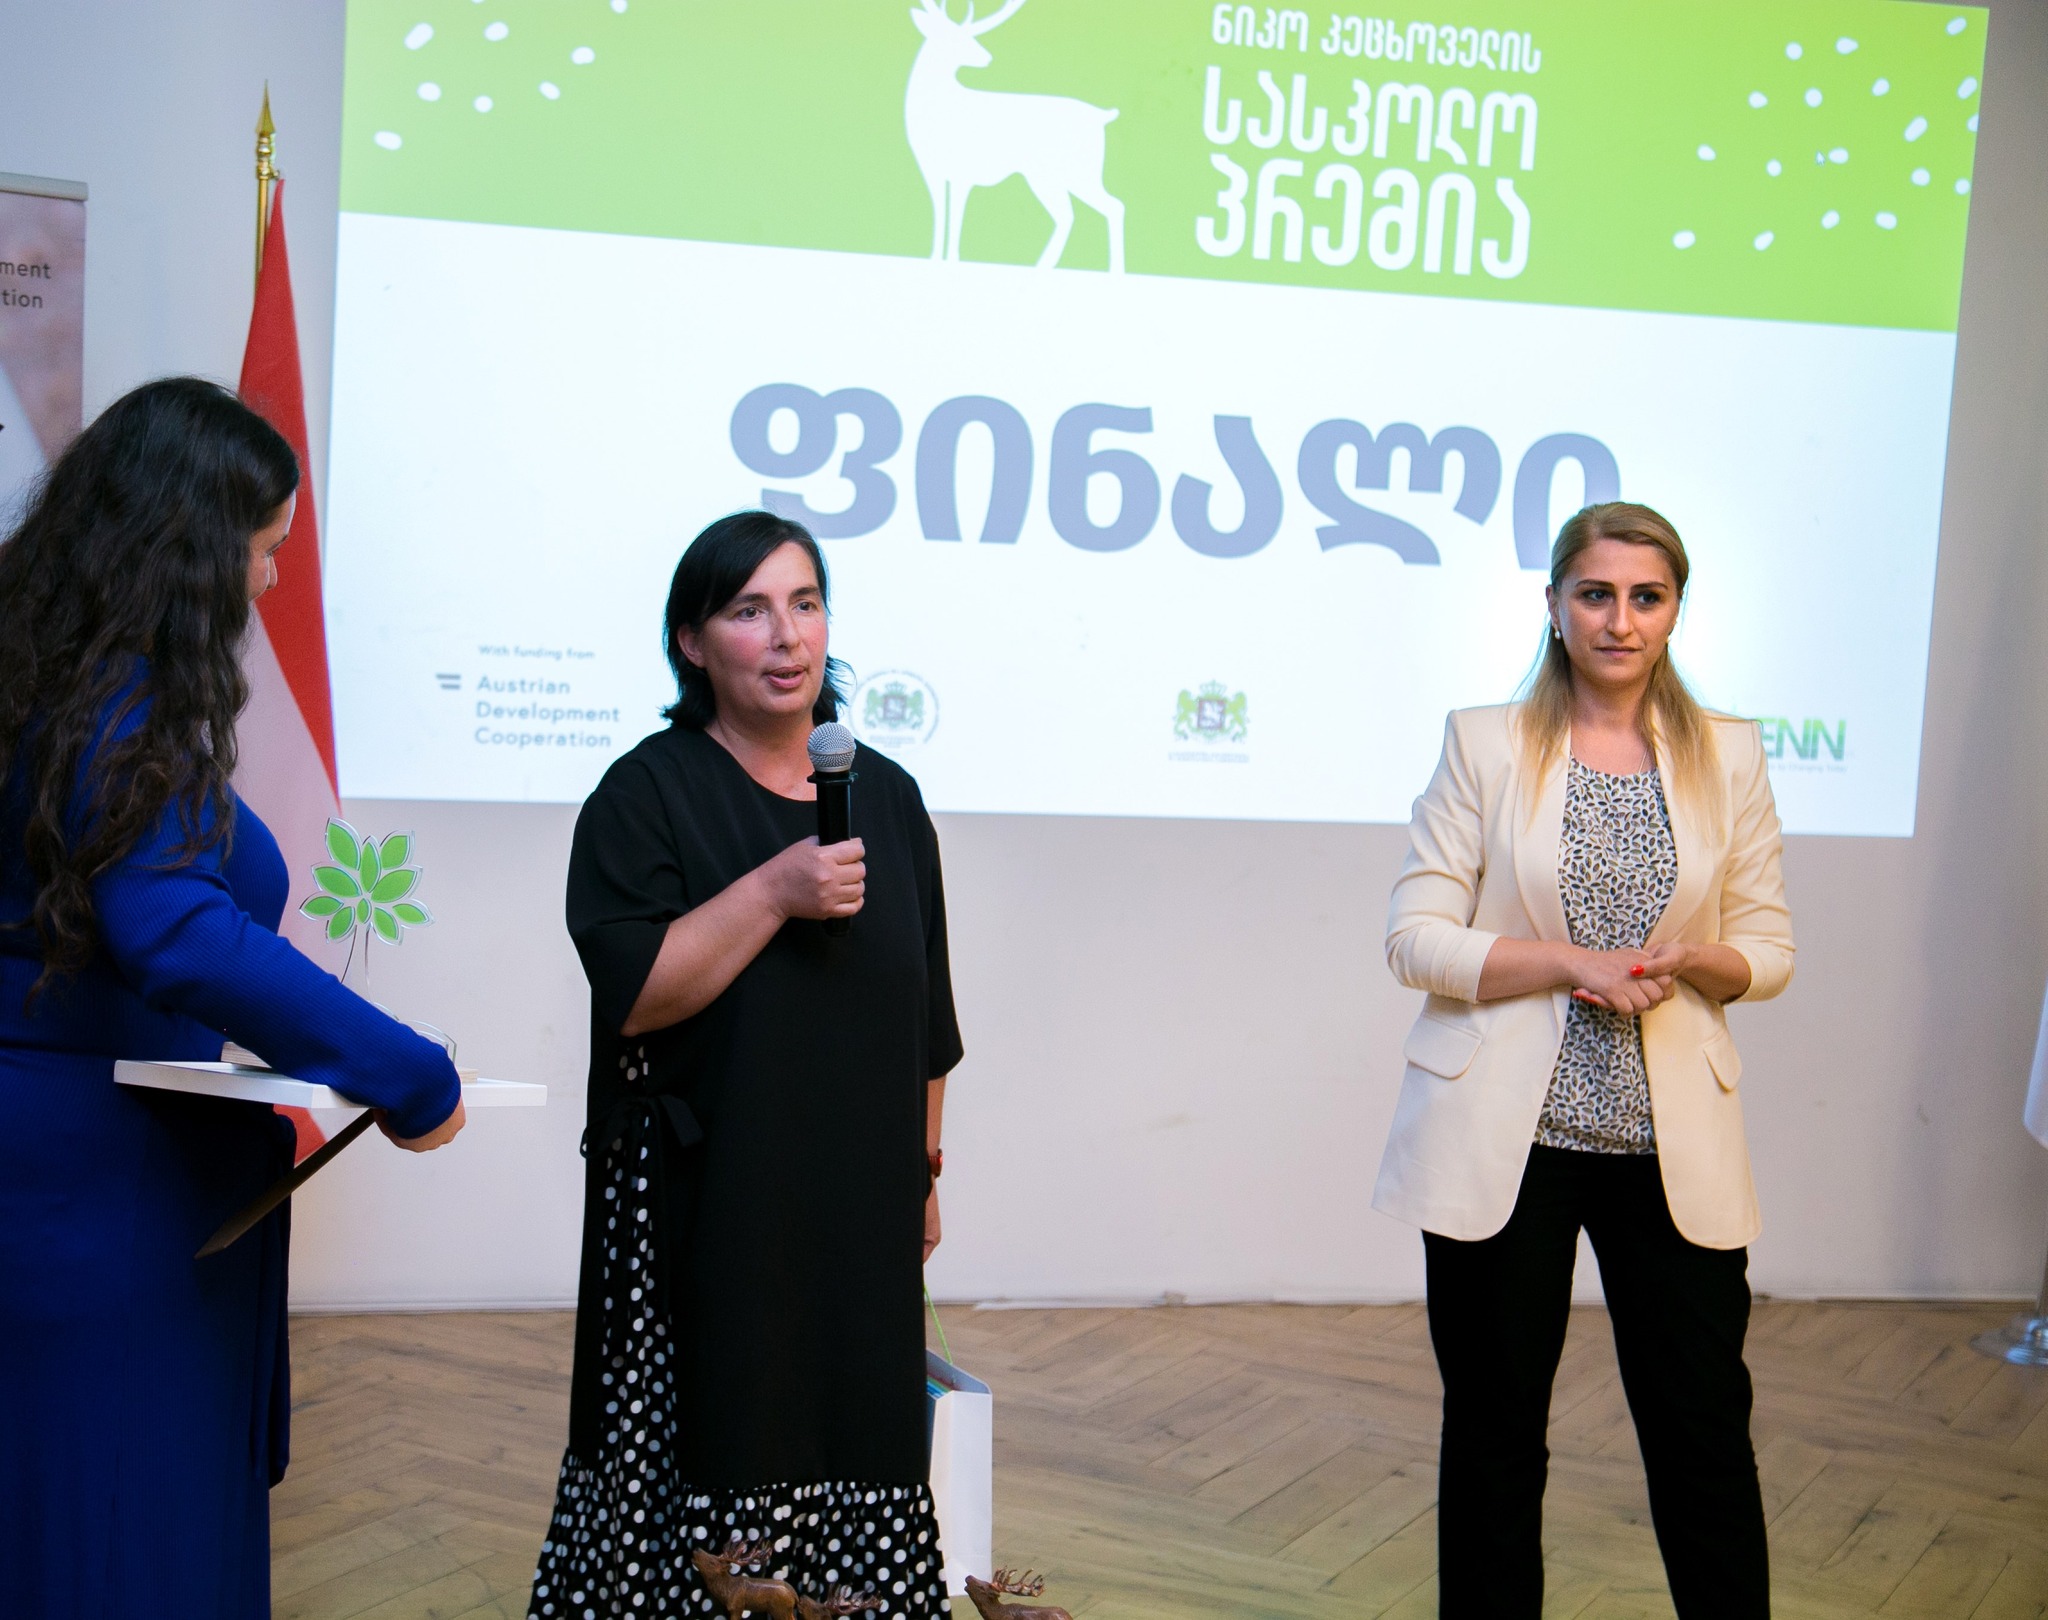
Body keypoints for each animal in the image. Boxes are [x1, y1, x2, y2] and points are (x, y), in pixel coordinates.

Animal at [905, 0, 1126, 273]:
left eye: (970, 36)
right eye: (952, 36)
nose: (987, 57)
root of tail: (1102, 116)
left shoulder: (963, 171)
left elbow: (955, 218)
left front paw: (952, 260)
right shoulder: (931, 170)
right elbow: (940, 214)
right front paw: (935, 259)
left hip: (1079, 172)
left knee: (1112, 206)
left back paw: (1114, 270)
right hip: (1048, 178)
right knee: (1068, 214)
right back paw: (1043, 266)